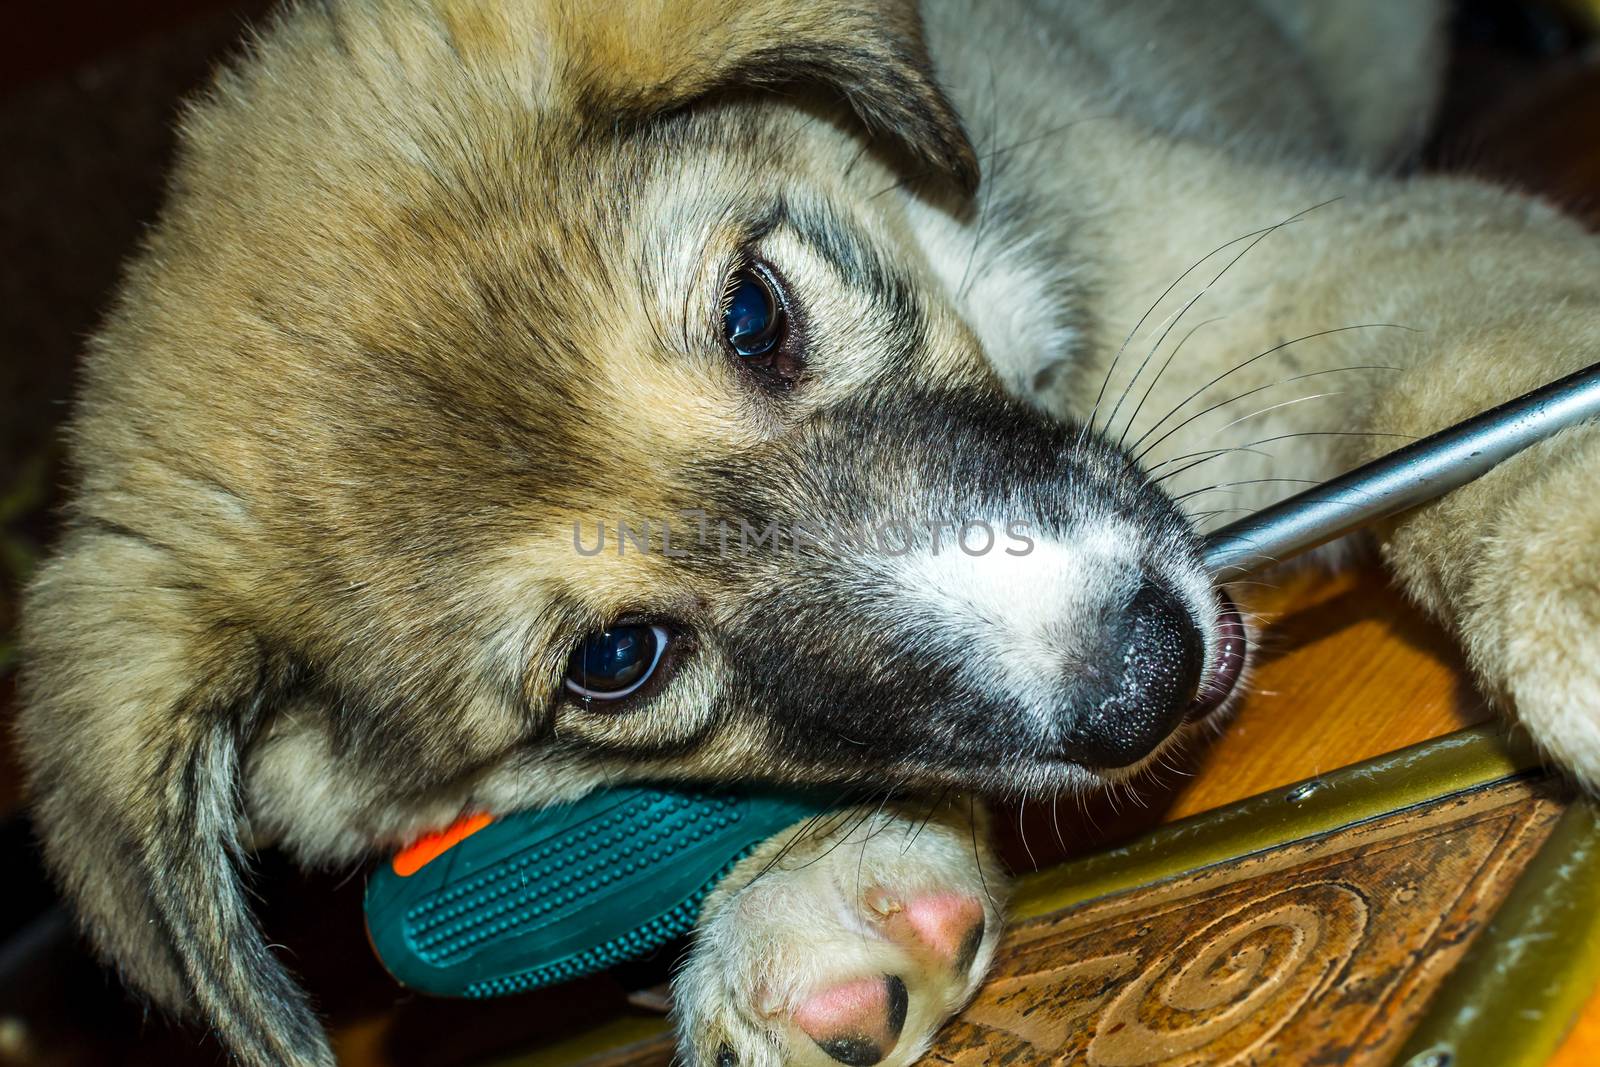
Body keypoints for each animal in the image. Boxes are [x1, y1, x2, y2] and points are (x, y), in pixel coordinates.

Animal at [15, 2, 1600, 1067]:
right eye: (617, 659)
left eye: (753, 313)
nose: (1141, 677)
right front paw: (826, 879)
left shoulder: (1317, 258)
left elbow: (1483, 367)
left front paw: (1572, 560)